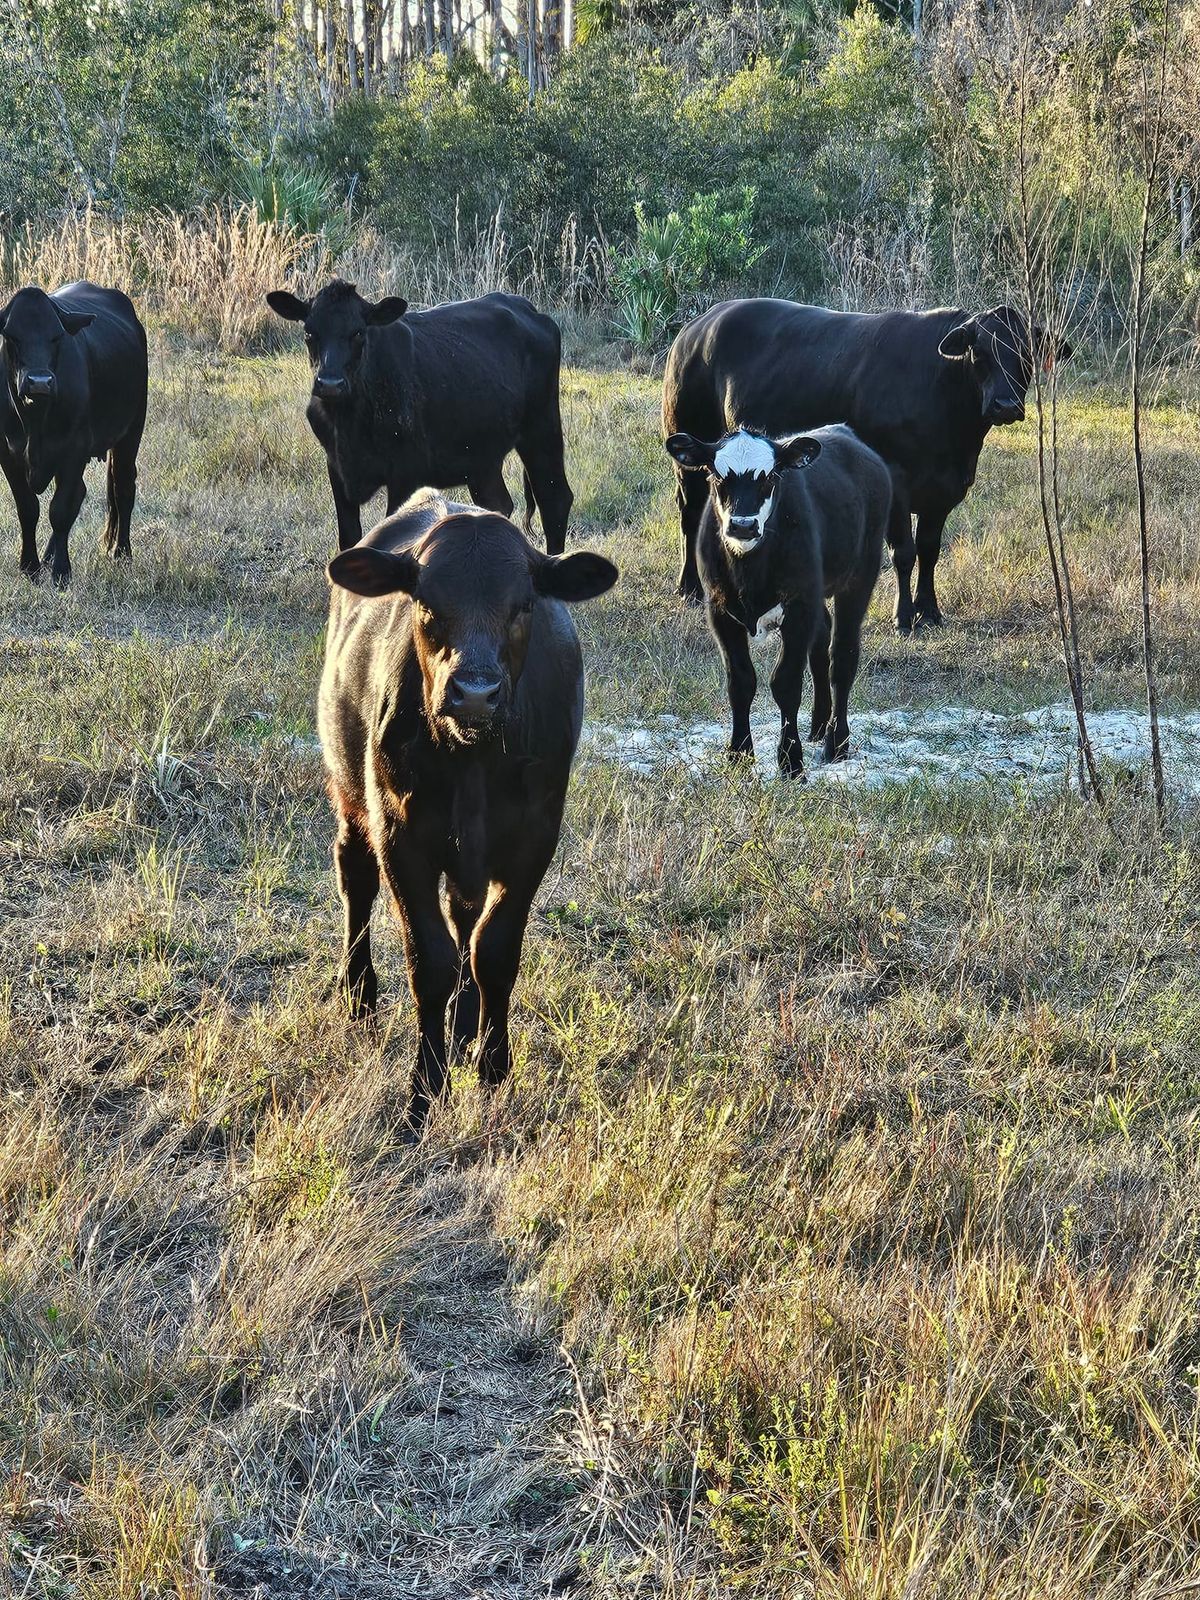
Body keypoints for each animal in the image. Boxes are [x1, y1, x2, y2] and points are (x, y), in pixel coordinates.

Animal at [0, 284, 149, 585]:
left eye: (57, 336)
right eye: (11, 335)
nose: (39, 382)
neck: (35, 420)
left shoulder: (74, 450)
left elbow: (59, 510)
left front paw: (61, 571)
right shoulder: (7, 454)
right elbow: (28, 508)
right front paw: (31, 566)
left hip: (131, 432)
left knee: (123, 488)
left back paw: (122, 553)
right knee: (81, 492)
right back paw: (48, 555)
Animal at [267, 284, 579, 560]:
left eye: (358, 332)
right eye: (309, 332)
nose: (330, 384)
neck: (348, 423)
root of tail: (527, 307)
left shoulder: (406, 471)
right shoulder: (337, 467)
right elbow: (349, 538)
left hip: (542, 428)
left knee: (554, 498)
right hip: (482, 456)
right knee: (497, 503)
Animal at [320, 492, 620, 1132]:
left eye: (524, 603)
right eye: (426, 601)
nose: (475, 693)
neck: (474, 762)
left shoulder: (534, 839)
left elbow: (494, 950)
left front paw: (492, 1064)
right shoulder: (400, 838)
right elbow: (427, 960)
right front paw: (424, 1090)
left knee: (466, 916)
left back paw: (464, 1022)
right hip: (350, 792)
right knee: (355, 875)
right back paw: (359, 991)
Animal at [662, 300, 1075, 630]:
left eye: (1025, 352)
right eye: (980, 353)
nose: (1005, 405)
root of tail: (700, 323)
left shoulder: (946, 489)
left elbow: (929, 549)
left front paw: (930, 611)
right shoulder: (896, 481)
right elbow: (904, 552)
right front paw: (904, 617)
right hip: (689, 450)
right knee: (690, 514)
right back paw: (690, 588)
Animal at [668, 422, 896, 777]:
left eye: (771, 477)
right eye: (717, 476)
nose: (743, 525)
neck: (749, 573)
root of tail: (846, 433)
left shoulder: (799, 607)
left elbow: (786, 683)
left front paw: (790, 761)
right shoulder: (719, 611)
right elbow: (740, 681)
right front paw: (739, 754)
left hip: (860, 575)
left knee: (842, 656)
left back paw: (836, 743)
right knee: (822, 644)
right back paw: (818, 725)